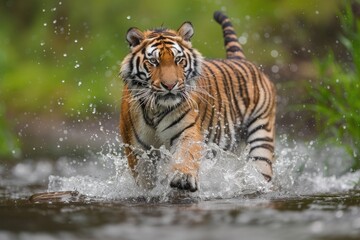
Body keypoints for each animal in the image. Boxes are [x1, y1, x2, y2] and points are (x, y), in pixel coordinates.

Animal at [119, 10, 278, 192]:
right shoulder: (137, 148)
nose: (170, 85)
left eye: (178, 60)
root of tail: (241, 60)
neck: (156, 109)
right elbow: (145, 177)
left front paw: (183, 177)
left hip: (261, 138)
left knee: (261, 170)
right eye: (153, 61)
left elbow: (186, 154)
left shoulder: (186, 130)